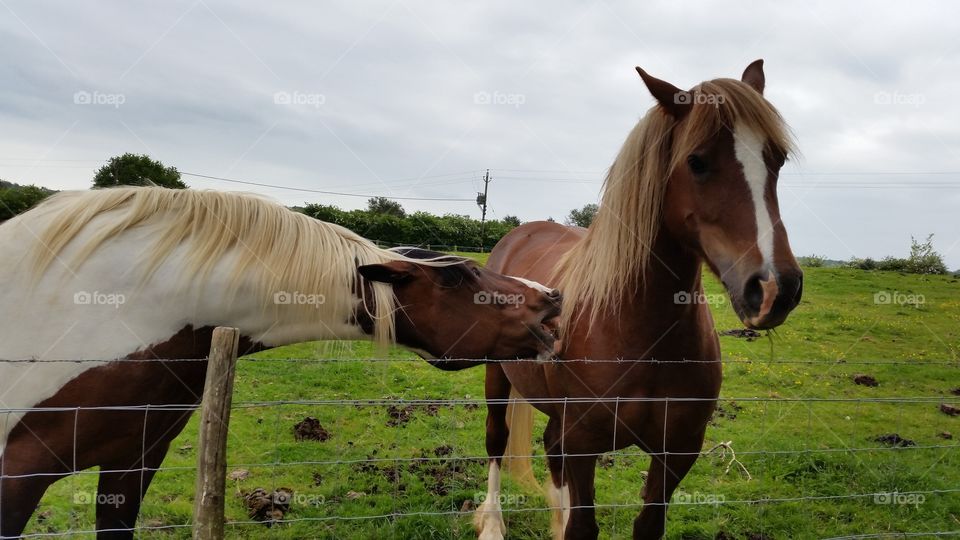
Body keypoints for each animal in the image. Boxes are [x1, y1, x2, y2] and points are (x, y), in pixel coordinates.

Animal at [474, 60, 804, 540]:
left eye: (776, 159)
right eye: (697, 161)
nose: (776, 288)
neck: (642, 332)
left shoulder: (677, 453)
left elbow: (646, 524)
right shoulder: (584, 446)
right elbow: (582, 527)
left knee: (550, 449)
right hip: (497, 378)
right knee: (496, 440)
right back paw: (493, 524)